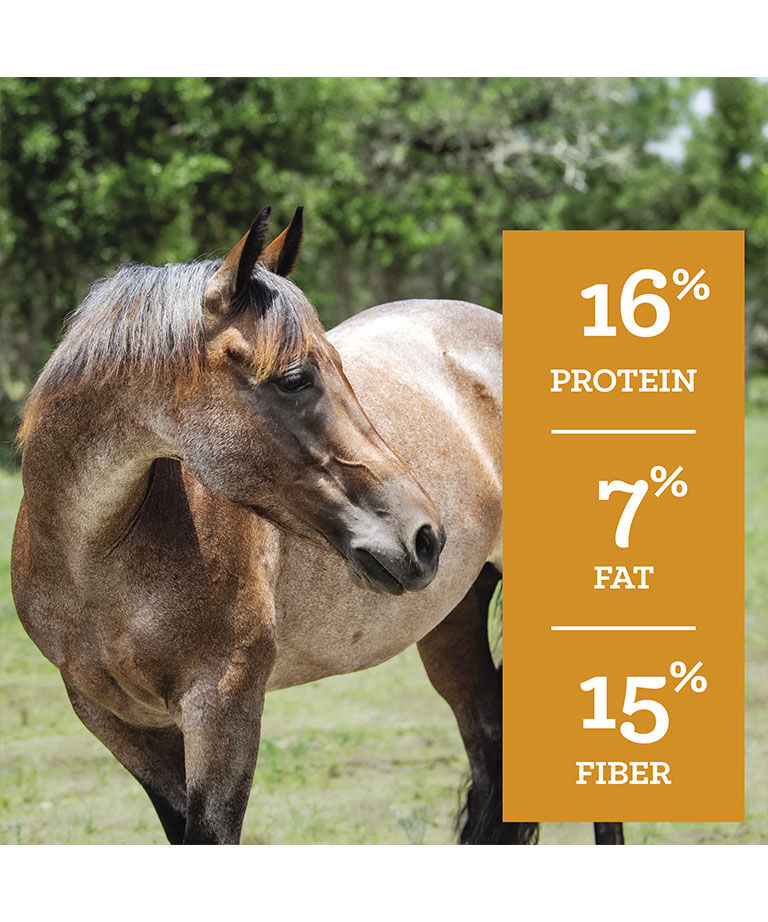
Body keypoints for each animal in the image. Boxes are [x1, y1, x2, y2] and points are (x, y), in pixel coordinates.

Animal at [11, 205, 621, 845]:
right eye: (295, 378)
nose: (425, 536)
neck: (95, 562)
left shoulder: (223, 709)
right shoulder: (120, 724)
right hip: (453, 624)